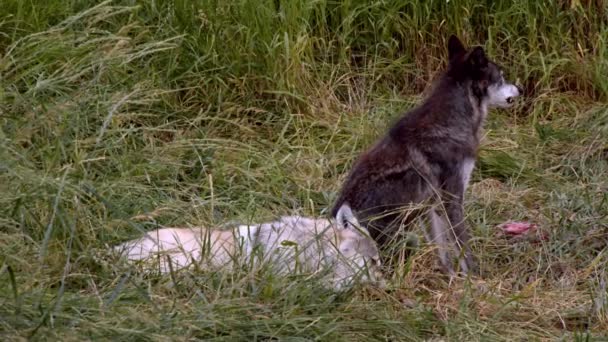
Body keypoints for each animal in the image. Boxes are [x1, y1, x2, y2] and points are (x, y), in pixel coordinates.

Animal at [332, 34, 524, 276]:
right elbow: (462, 246)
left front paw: (450, 276)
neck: (452, 119)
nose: (521, 89)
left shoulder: (431, 207)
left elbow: (441, 249)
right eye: (502, 77)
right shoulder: (452, 200)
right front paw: (475, 278)